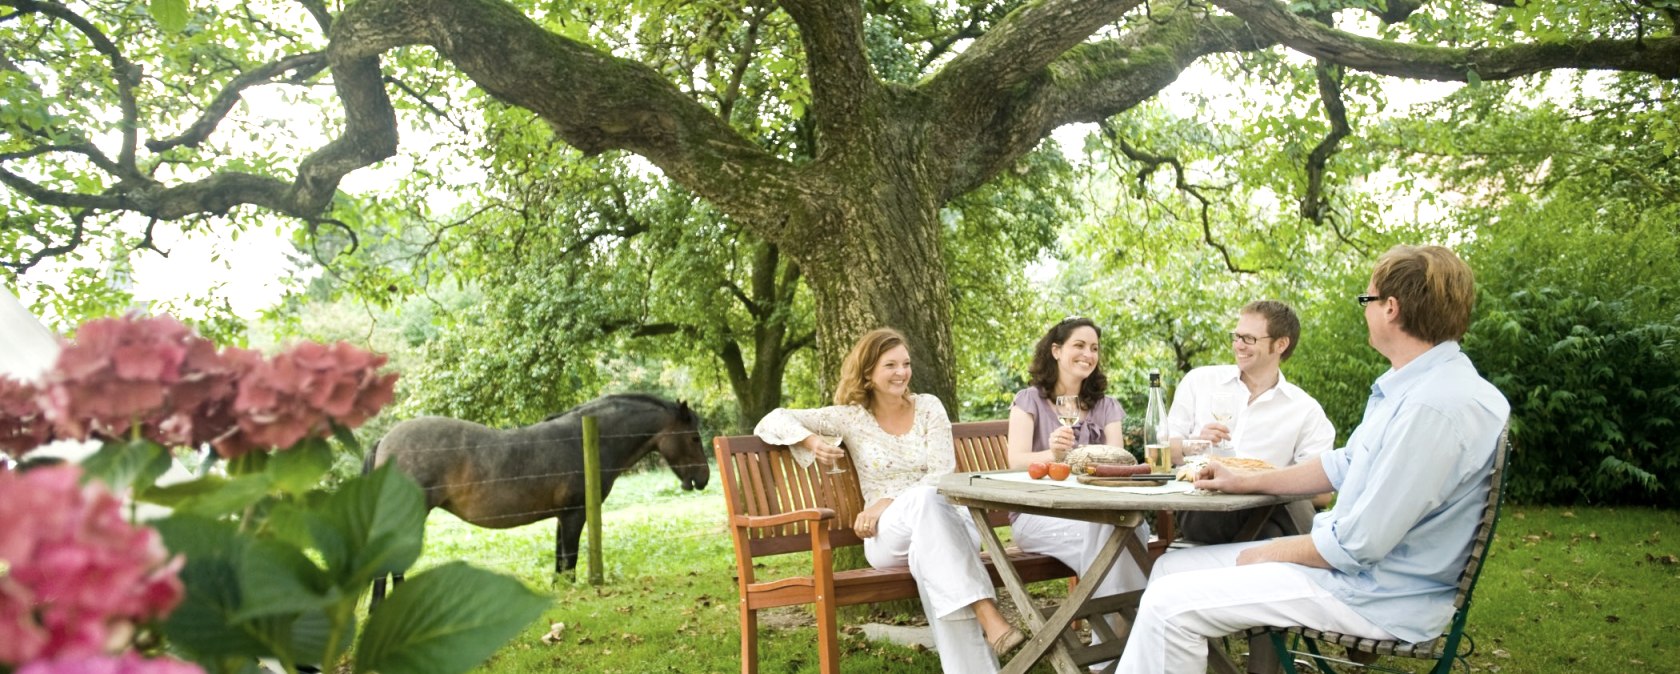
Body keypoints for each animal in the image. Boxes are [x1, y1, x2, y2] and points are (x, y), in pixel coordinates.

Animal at [367, 393, 708, 578]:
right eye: (694, 437)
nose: (704, 478)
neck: (586, 440)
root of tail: (385, 440)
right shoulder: (574, 515)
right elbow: (569, 562)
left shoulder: (561, 517)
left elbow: (560, 565)